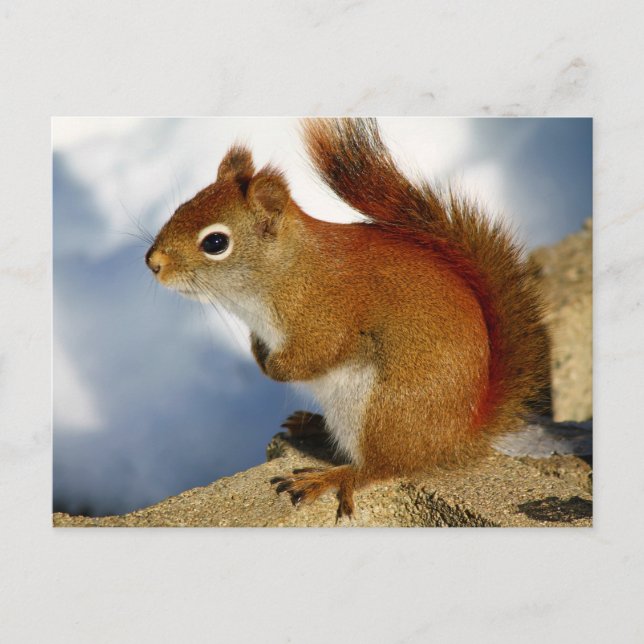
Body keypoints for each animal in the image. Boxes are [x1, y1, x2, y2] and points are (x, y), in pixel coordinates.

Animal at [145, 118, 550, 520]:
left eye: (215, 243)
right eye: (182, 208)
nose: (153, 263)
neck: (284, 273)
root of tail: (459, 438)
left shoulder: (327, 319)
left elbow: (315, 354)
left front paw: (275, 369)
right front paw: (260, 356)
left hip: (384, 413)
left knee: (380, 468)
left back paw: (329, 477)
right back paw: (311, 425)